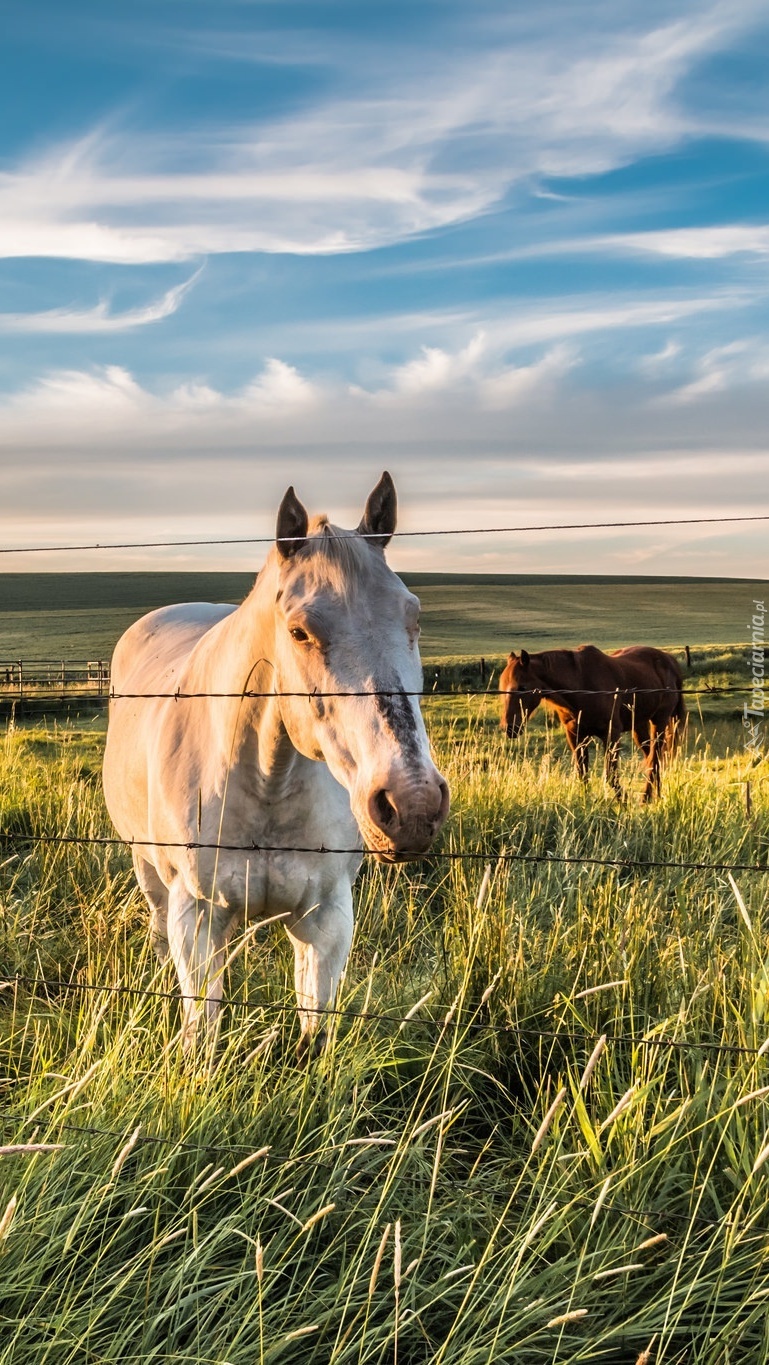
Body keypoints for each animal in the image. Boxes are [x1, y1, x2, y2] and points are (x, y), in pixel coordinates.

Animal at [102, 475, 450, 1059]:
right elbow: (202, 1033)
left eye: (415, 616)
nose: (412, 805)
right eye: (299, 631)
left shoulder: (327, 918)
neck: (269, 780)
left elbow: (315, 1031)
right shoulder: (195, 917)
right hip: (149, 871)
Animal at [502, 641, 688, 797]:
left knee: (655, 758)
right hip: (639, 726)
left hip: (659, 721)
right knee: (652, 759)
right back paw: (655, 794)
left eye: (522, 687)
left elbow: (611, 774)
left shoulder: (611, 734)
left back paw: (648, 798)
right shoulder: (576, 736)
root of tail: (669, 661)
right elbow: (582, 773)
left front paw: (623, 802)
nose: (509, 727)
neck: (582, 685)